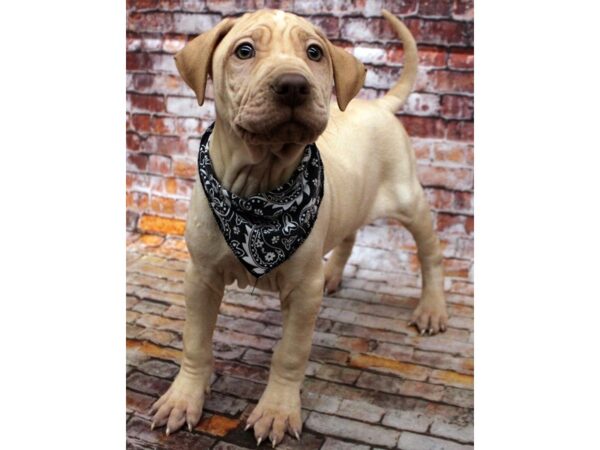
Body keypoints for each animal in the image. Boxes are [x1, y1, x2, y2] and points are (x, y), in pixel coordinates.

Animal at [149, 8, 448, 444]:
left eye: (314, 53)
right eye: (244, 50)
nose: (293, 85)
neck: (258, 192)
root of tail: (378, 105)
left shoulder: (304, 291)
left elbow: (290, 353)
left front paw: (276, 411)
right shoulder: (200, 276)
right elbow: (195, 341)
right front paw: (183, 398)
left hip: (410, 199)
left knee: (430, 253)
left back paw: (432, 309)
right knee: (349, 234)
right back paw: (335, 275)